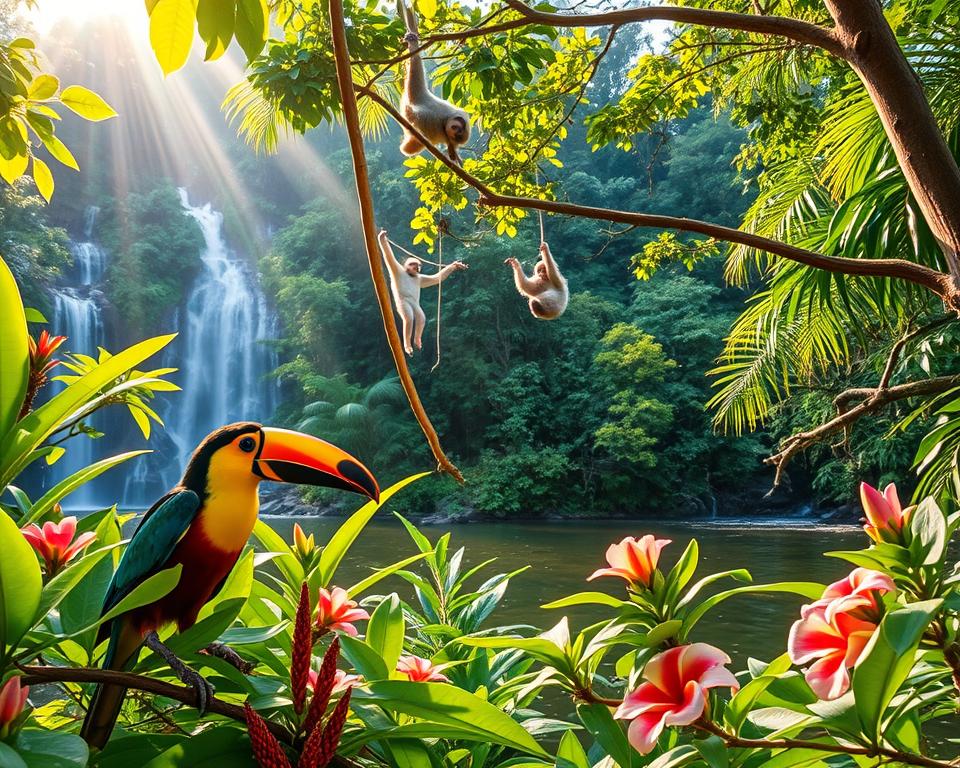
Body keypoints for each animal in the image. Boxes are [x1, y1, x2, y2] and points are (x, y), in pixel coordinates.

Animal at [398, 0, 471, 165]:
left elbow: (451, 146)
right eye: (456, 128)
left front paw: (453, 152)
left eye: (459, 133)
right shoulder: (434, 122)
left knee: (408, 148)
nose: (456, 133)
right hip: (415, 94)